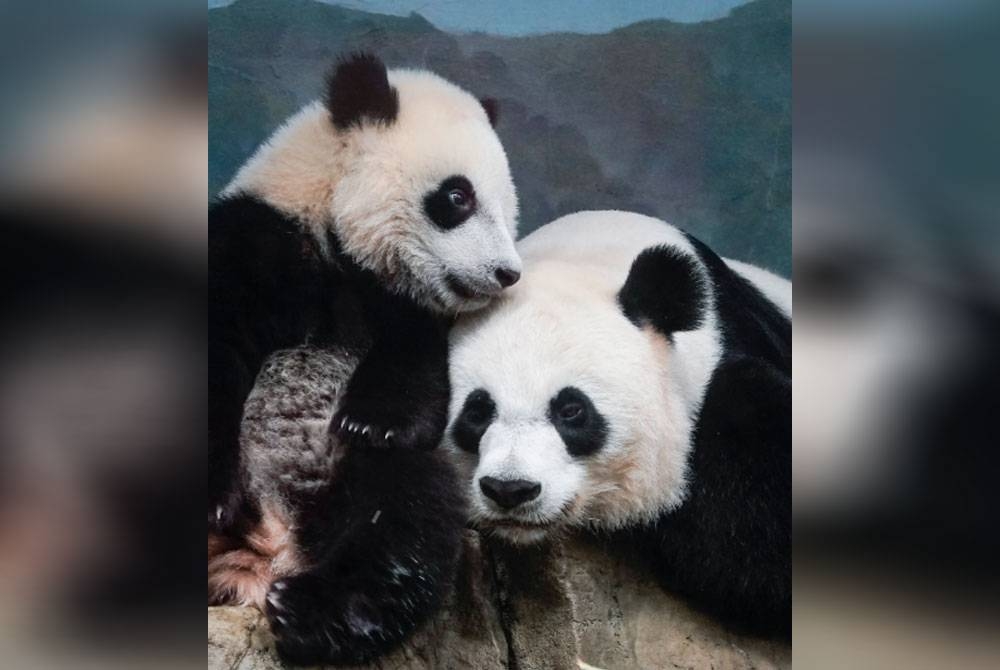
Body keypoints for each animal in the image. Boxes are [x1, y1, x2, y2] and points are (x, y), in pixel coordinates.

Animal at [208, 53, 521, 666]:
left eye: (507, 204)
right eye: (458, 197)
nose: (506, 273)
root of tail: (267, 550)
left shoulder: (407, 313)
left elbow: (417, 379)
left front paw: (369, 422)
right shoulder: (259, 241)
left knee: (406, 513)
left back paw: (311, 612)